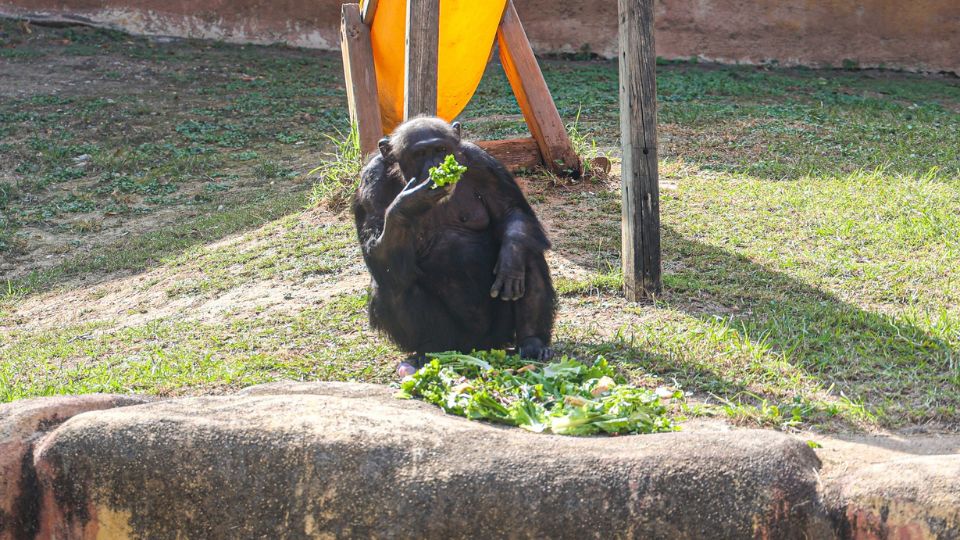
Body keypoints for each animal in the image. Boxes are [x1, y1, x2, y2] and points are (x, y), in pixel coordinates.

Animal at [354, 116, 560, 364]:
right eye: (420, 154)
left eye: (441, 149)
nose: (435, 163)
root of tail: (478, 346)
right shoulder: (372, 182)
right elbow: (376, 252)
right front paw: (409, 203)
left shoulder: (484, 165)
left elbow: (511, 212)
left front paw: (510, 262)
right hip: (453, 338)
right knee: (393, 282)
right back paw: (428, 351)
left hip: (501, 332)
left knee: (527, 252)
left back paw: (532, 341)